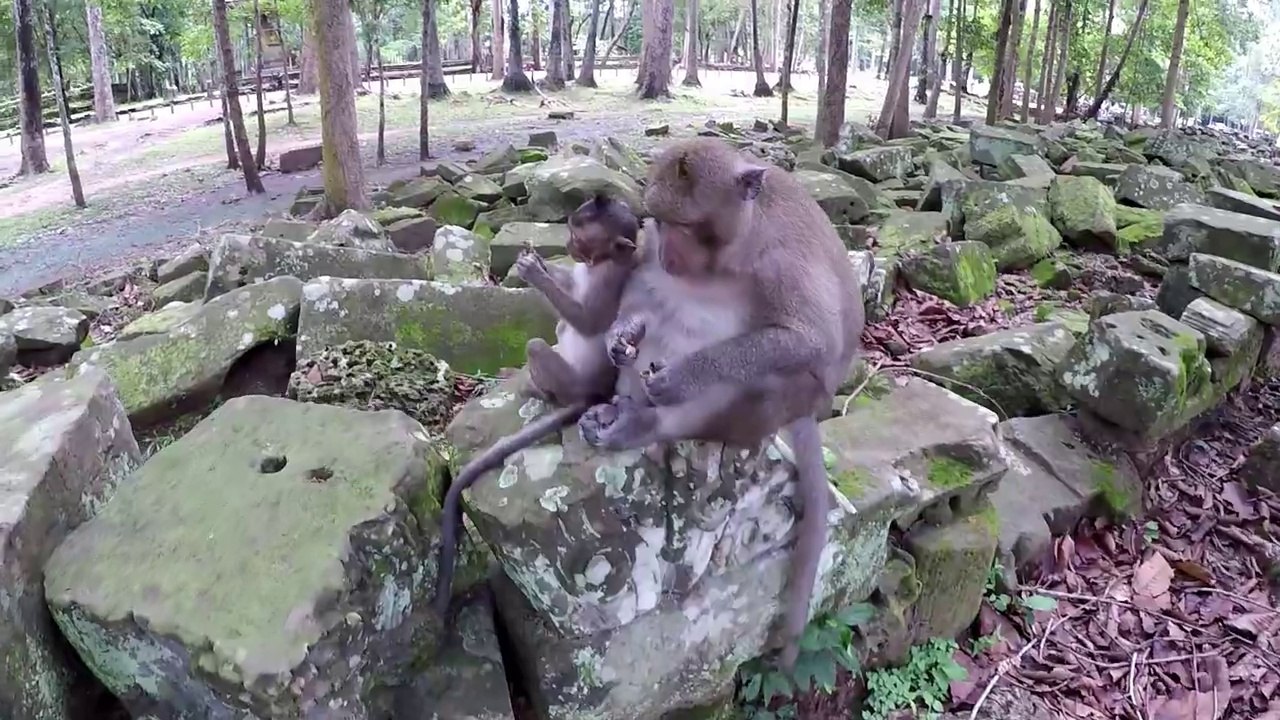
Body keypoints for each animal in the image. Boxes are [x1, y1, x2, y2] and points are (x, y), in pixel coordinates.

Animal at [432, 194, 641, 617]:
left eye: (580, 235)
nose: (569, 245)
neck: (599, 263)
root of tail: (588, 396)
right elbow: (571, 287)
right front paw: (539, 263)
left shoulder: (609, 279)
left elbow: (588, 320)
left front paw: (534, 272)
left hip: (568, 380)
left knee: (539, 346)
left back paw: (537, 389)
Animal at [576, 137, 866, 670]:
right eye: (660, 220)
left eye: (687, 225)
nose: (667, 249)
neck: (733, 251)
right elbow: (641, 286)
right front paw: (621, 335)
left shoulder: (781, 263)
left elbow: (811, 342)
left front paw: (684, 378)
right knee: (655, 291)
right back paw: (621, 406)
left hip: (785, 403)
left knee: (773, 379)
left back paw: (647, 423)